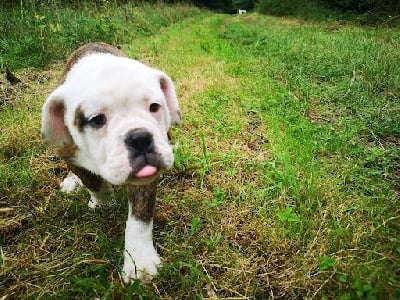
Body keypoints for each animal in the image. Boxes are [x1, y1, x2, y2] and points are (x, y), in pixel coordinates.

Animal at [41, 42, 181, 284]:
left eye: (154, 106)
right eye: (97, 120)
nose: (140, 138)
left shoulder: (144, 179)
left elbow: (139, 220)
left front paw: (139, 262)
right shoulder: (69, 154)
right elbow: (92, 182)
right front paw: (103, 203)